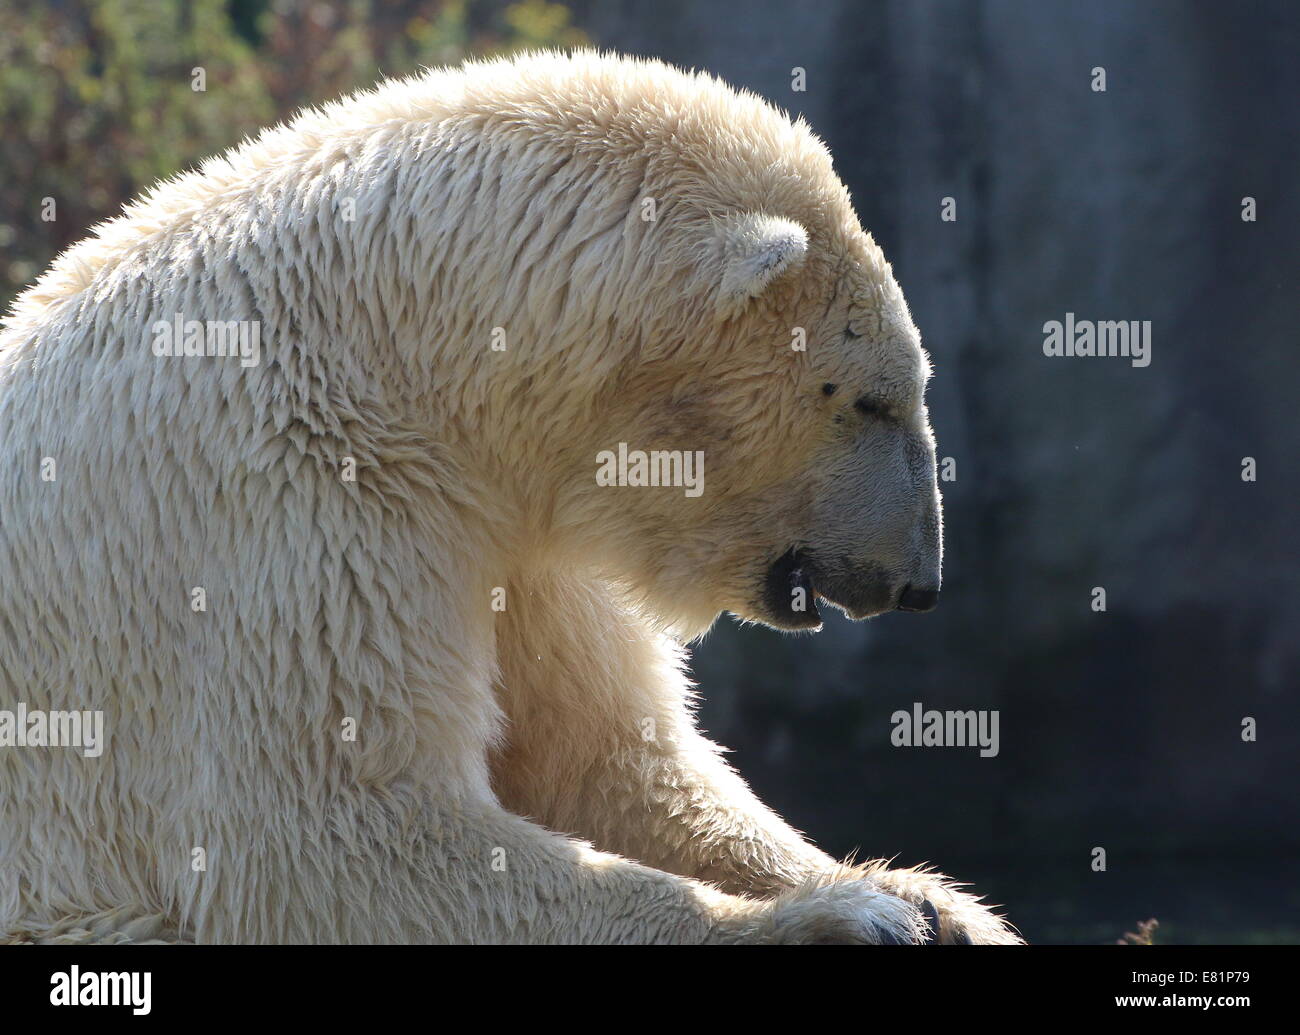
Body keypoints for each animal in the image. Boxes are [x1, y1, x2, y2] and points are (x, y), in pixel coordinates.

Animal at [0, 54, 1013, 946]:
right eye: (872, 398)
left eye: (906, 386)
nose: (919, 579)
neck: (391, 340)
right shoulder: (289, 506)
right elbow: (327, 832)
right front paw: (840, 917)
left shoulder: (524, 532)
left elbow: (604, 758)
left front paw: (935, 902)